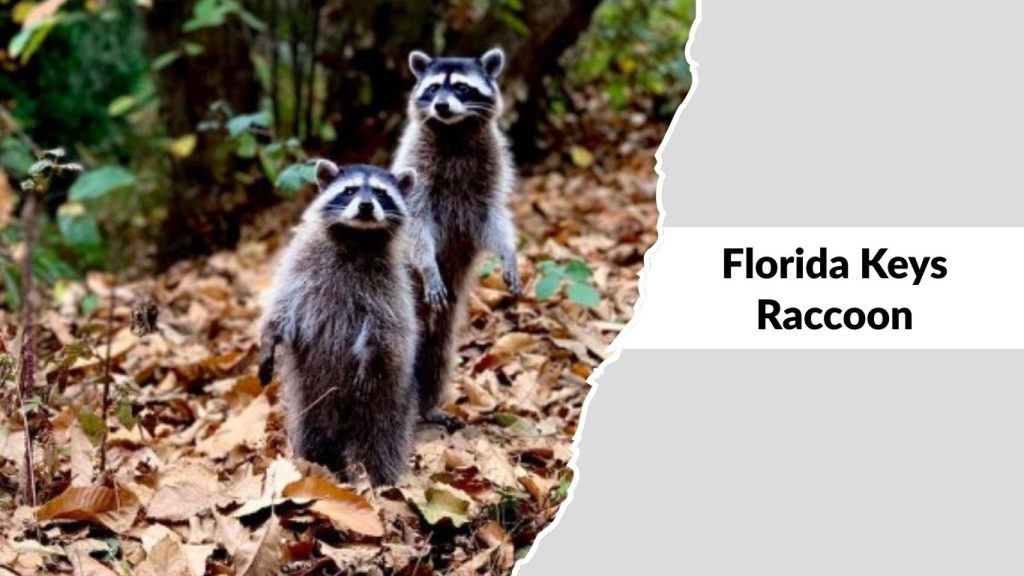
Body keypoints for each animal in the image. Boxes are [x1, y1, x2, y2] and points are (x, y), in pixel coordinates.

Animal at [259, 163, 419, 485]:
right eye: (350, 190)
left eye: (381, 193)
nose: (367, 205)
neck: (357, 238)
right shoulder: (302, 264)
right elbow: (283, 308)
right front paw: (268, 338)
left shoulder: (389, 286)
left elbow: (388, 328)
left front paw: (370, 357)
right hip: (311, 397)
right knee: (314, 434)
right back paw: (320, 469)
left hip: (390, 397)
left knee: (382, 441)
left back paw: (381, 483)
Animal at [392, 47, 521, 429]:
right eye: (434, 89)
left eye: (462, 88)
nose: (442, 106)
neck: (454, 131)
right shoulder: (416, 167)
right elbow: (417, 223)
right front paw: (429, 265)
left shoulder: (490, 166)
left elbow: (492, 218)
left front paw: (509, 252)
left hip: (446, 315)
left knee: (438, 352)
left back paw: (428, 405)